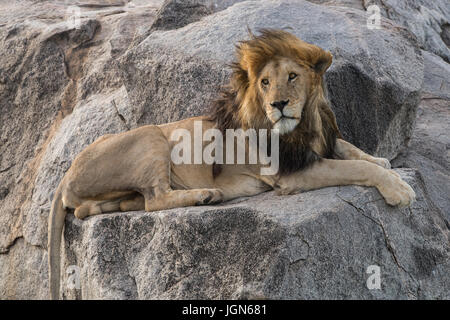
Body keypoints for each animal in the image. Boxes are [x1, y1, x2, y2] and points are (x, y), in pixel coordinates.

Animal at [47, 28, 416, 298]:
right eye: (265, 83)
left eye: (293, 76)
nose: (278, 104)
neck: (303, 124)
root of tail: (65, 175)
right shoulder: (290, 173)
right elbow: (354, 168)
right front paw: (398, 189)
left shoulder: (317, 144)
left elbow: (349, 149)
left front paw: (381, 159)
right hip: (151, 134)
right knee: (155, 200)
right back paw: (206, 195)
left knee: (100, 208)